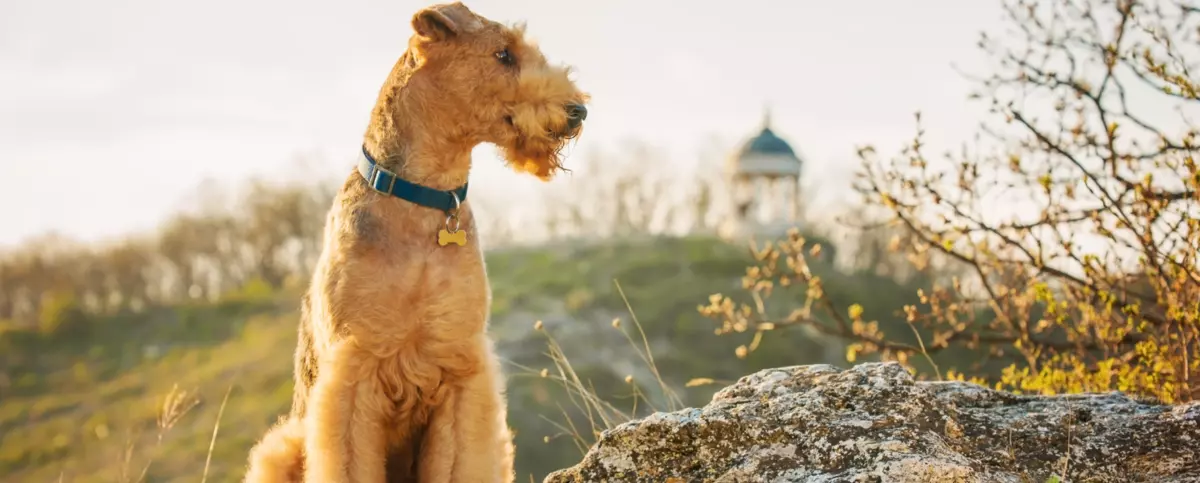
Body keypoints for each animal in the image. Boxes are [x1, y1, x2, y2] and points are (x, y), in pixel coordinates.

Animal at [241, 1, 588, 480]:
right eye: (503, 54)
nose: (578, 111)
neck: (424, 200)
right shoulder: (354, 372)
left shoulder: (460, 369)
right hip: (283, 444)